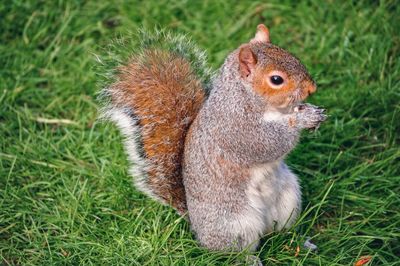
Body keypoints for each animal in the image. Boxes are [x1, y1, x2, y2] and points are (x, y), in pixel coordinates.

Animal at [101, 24, 326, 251]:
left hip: (288, 200)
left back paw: (300, 242)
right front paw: (302, 119)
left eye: (294, 57)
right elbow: (268, 144)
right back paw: (249, 257)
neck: (245, 98)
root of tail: (196, 227)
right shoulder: (236, 130)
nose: (312, 88)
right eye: (276, 79)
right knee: (232, 250)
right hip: (233, 224)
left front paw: (310, 111)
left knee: (282, 231)